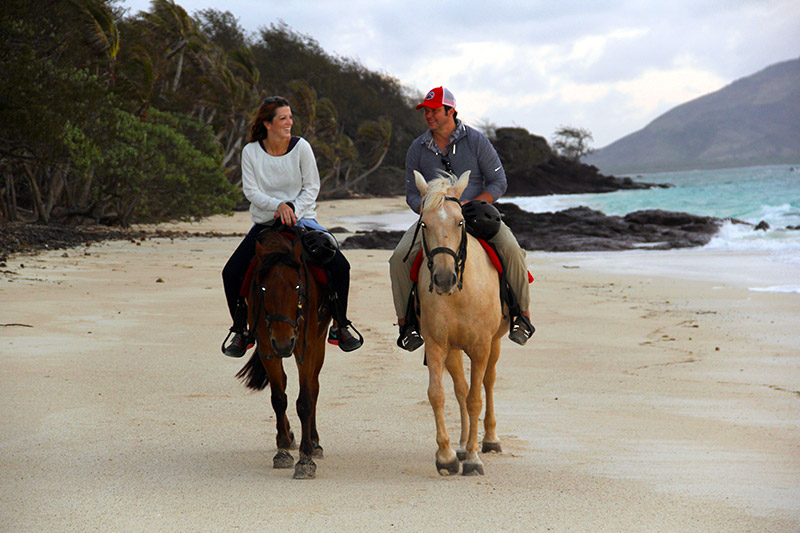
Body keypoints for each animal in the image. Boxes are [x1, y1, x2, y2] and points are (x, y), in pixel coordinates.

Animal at [235, 228, 331, 479]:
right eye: (263, 288)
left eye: (297, 287)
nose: (283, 342)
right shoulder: (267, 350)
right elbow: (278, 399)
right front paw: (283, 451)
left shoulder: (306, 348)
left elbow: (305, 400)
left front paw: (306, 460)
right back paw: (289, 436)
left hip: (318, 342)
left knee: (314, 387)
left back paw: (315, 442)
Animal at [413, 170, 509, 476]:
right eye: (424, 223)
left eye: (460, 222)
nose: (444, 279)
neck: (458, 295)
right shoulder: (436, 344)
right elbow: (438, 394)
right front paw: (446, 456)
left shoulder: (480, 346)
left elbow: (476, 398)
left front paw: (475, 459)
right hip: (454, 350)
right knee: (460, 389)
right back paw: (463, 445)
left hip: (494, 343)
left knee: (487, 383)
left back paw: (489, 440)